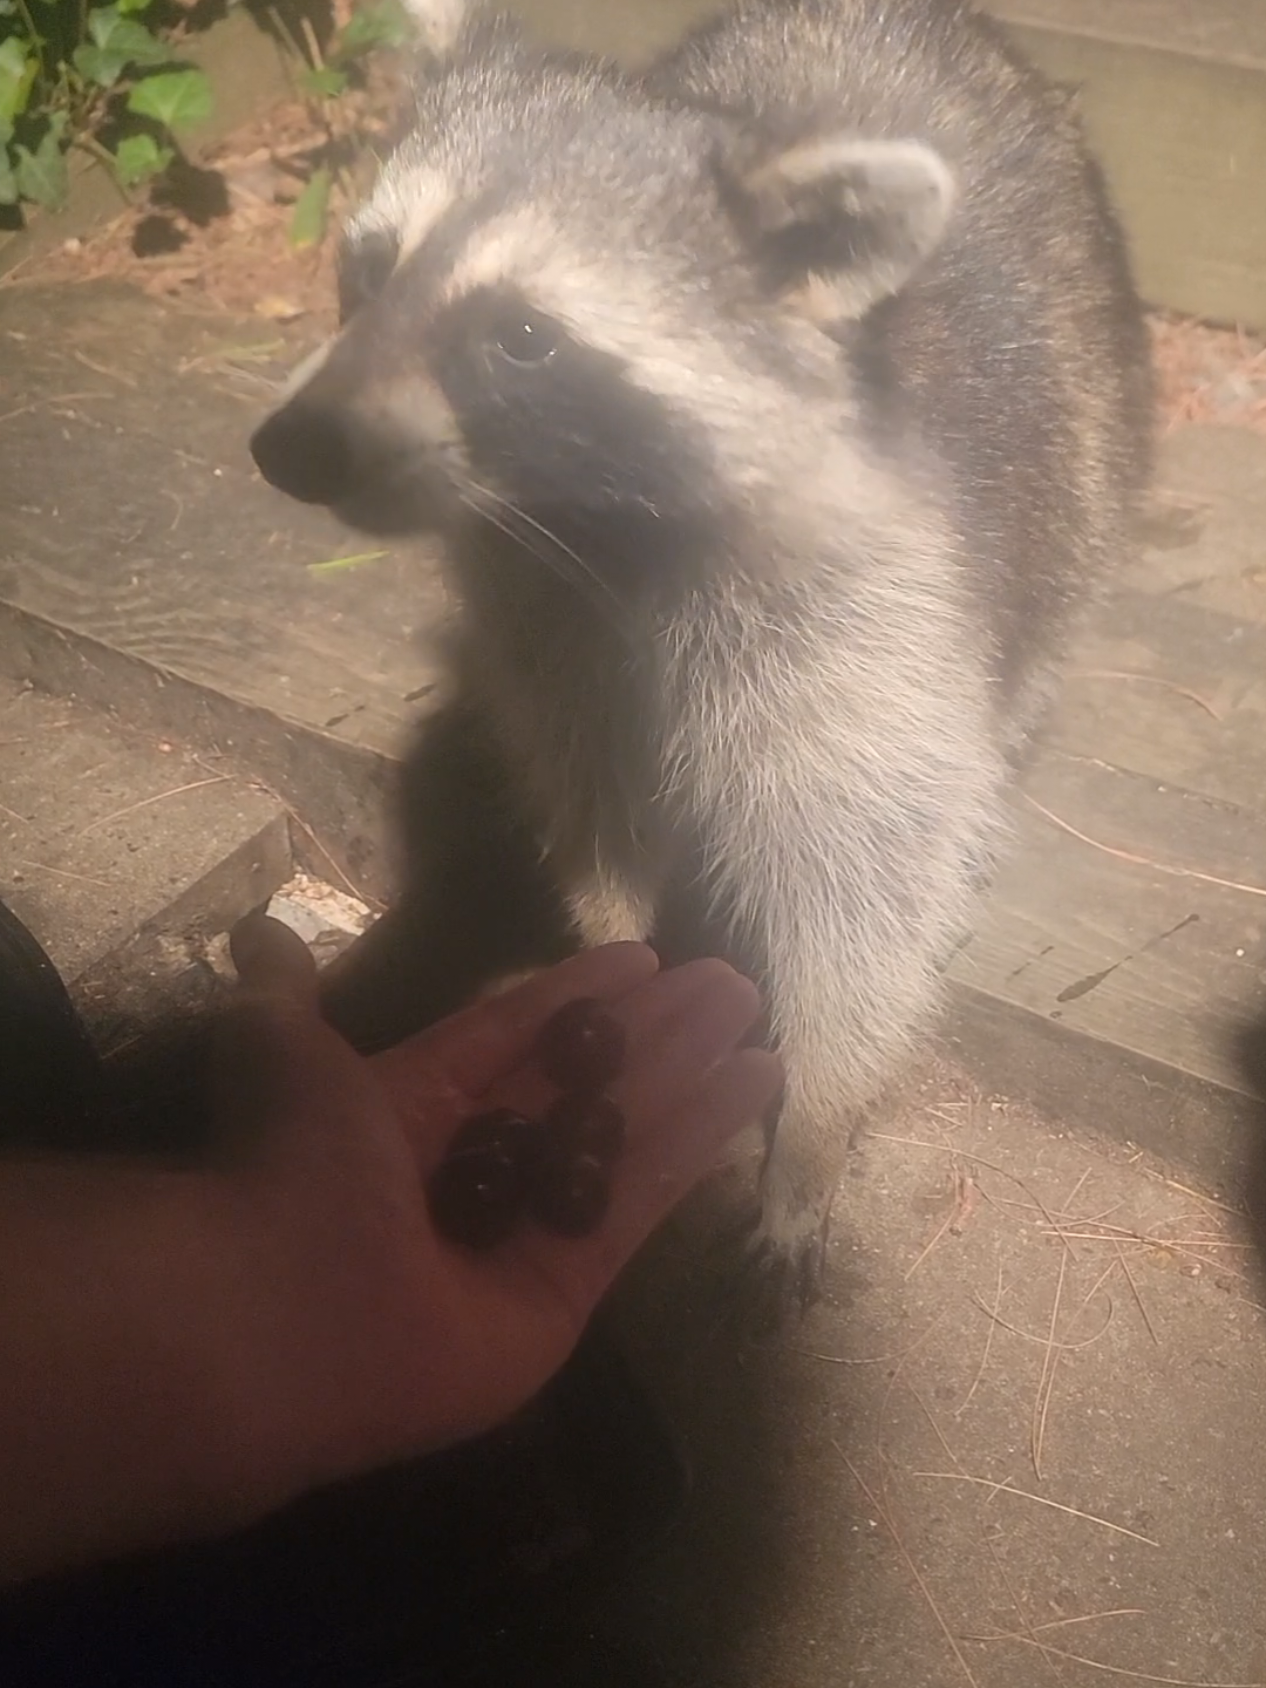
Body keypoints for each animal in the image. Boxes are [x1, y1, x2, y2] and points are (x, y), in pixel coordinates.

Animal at [250, 0, 1153, 1305]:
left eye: (523, 337)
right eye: (370, 266)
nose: (293, 445)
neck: (588, 514)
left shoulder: (877, 619)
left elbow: (867, 885)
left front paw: (815, 1125)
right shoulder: (550, 622)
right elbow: (591, 792)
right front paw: (611, 938)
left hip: (1091, 426)